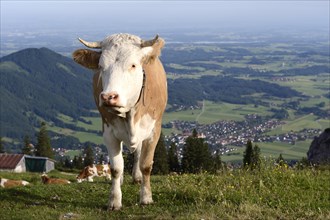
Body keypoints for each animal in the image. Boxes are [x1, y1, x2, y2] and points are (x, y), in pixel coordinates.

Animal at [73, 33, 169, 211]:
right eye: (101, 66)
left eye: (133, 65)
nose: (108, 97)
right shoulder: (108, 132)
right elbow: (116, 168)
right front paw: (114, 201)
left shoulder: (154, 131)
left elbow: (146, 165)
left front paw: (146, 197)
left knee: (138, 152)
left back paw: (137, 177)